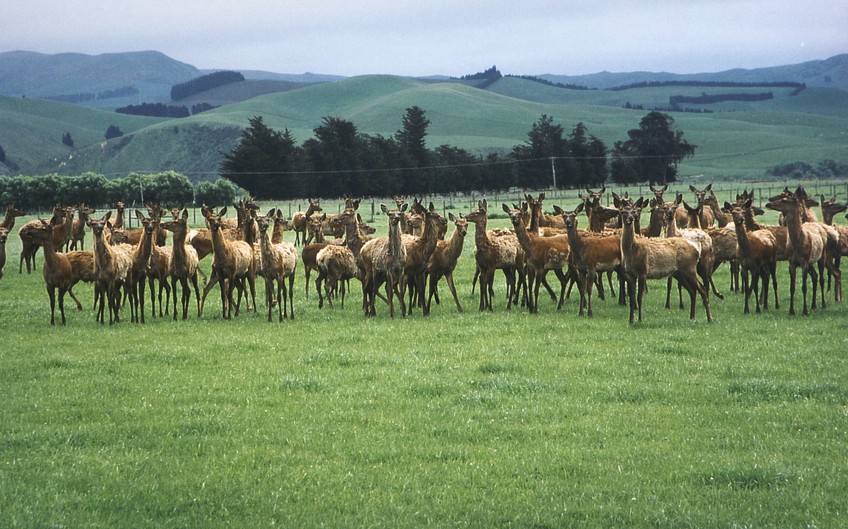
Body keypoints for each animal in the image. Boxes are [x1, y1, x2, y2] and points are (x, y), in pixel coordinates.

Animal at [760, 188, 820, 316]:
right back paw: (814, 304)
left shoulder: (804, 262)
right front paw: (791, 310)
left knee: (818, 276)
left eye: (784, 200)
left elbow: (804, 287)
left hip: (816, 259)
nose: (768, 204)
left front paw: (804, 310)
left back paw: (819, 304)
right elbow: (792, 287)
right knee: (815, 275)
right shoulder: (791, 262)